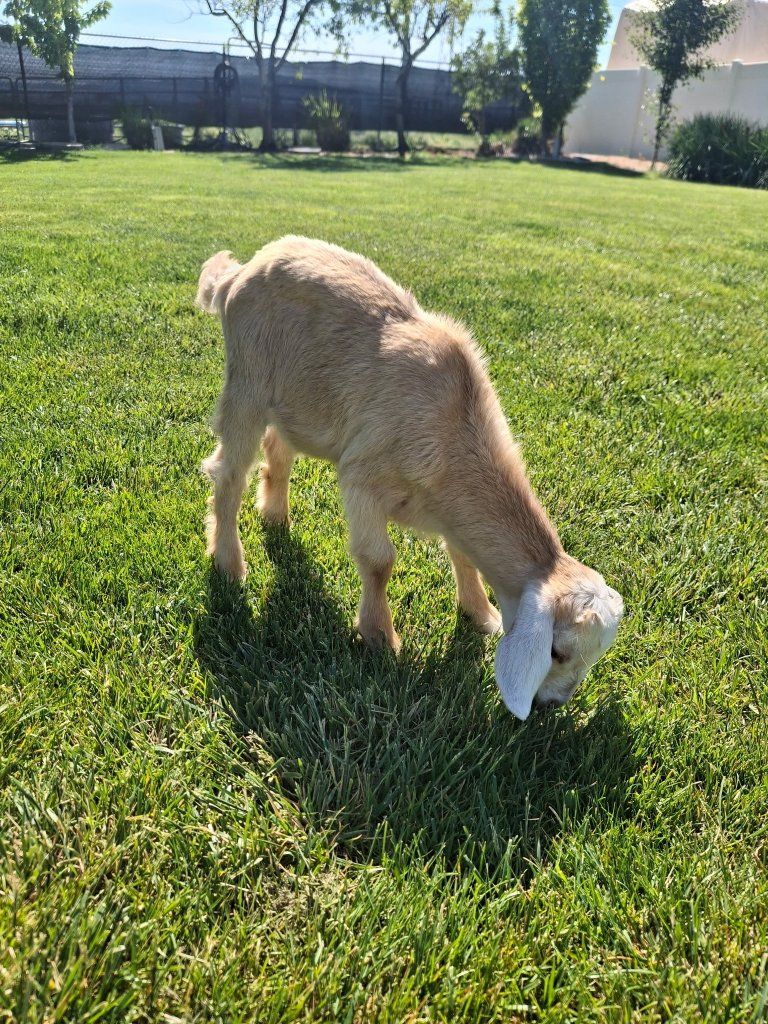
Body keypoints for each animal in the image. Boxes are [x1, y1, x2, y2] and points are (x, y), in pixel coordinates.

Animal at [197, 237, 624, 719]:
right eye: (557, 651)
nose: (551, 704)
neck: (456, 425)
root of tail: (240, 272)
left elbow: (462, 555)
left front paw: (481, 615)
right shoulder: (361, 477)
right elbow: (378, 561)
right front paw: (380, 637)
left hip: (296, 401)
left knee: (279, 450)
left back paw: (275, 515)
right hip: (247, 378)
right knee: (229, 473)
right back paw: (230, 563)